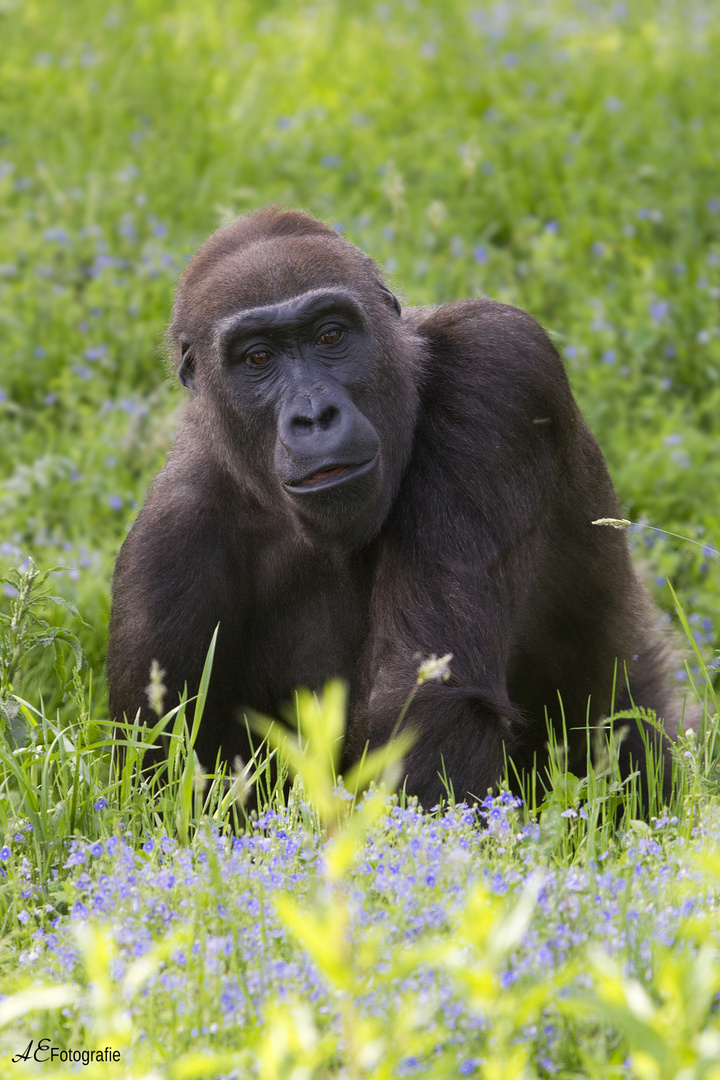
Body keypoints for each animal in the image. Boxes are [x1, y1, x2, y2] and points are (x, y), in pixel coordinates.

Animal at [108, 206, 686, 807]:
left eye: (331, 335)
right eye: (258, 357)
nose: (315, 416)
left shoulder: (497, 363)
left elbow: (431, 706)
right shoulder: (167, 548)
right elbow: (170, 786)